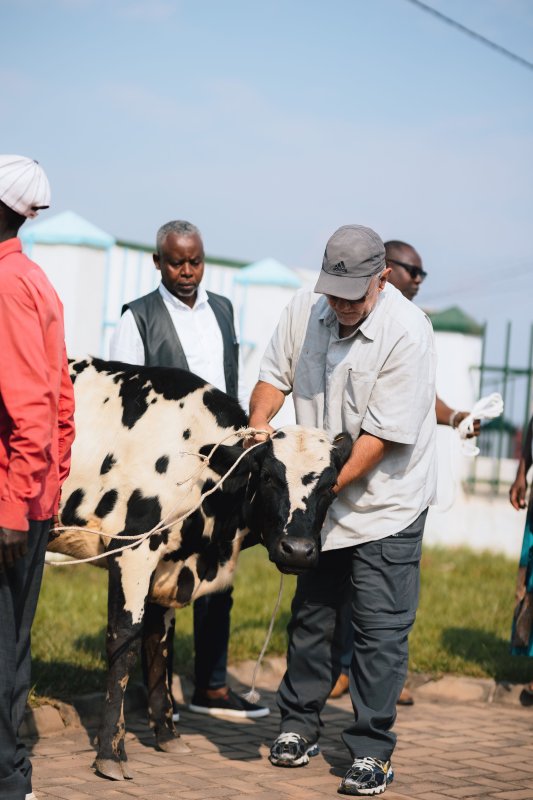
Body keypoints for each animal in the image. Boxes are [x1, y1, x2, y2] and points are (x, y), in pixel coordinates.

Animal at [48, 357, 352, 781]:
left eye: (331, 485)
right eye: (269, 477)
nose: (298, 550)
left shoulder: (166, 567)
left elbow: (158, 645)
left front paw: (167, 735)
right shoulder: (133, 548)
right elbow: (125, 642)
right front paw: (111, 751)